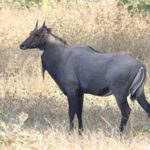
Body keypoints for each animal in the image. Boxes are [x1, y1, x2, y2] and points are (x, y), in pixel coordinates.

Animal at [20, 20, 150, 134]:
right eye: (30, 33)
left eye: (37, 34)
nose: (22, 45)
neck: (62, 56)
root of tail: (140, 65)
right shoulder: (80, 92)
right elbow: (79, 112)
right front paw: (80, 132)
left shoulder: (71, 91)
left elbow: (71, 112)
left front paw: (70, 132)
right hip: (139, 93)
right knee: (147, 108)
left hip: (120, 94)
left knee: (126, 111)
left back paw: (119, 133)